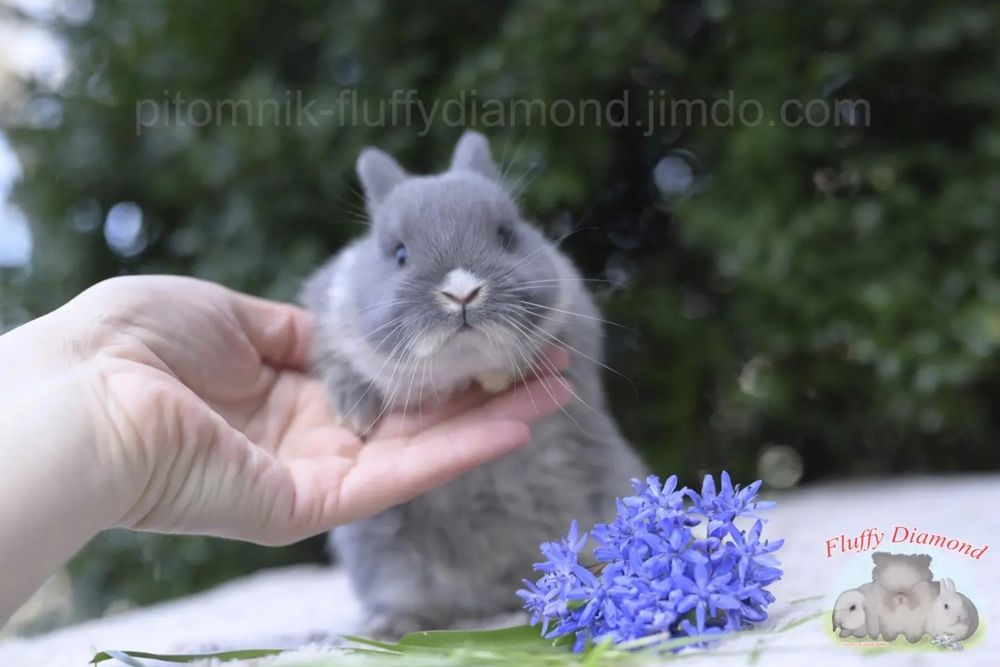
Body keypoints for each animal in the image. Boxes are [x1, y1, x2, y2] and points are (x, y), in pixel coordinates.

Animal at [300, 131, 646, 637]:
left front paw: (498, 377)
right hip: (382, 550)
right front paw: (356, 413)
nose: (461, 292)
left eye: (506, 235)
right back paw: (390, 628)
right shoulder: (327, 331)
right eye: (399, 254)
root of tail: (493, 599)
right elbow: (340, 369)